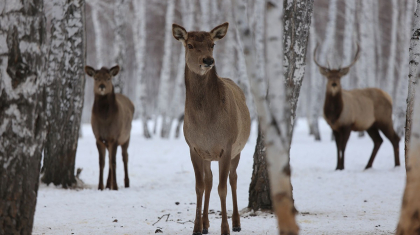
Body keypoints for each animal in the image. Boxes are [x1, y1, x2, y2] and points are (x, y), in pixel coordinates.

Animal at [172, 22, 251, 235]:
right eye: (190, 45)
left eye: (212, 44)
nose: (208, 60)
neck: (205, 126)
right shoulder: (193, 147)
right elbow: (199, 186)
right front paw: (196, 228)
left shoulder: (227, 145)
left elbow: (222, 188)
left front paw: (225, 229)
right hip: (208, 155)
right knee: (209, 180)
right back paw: (206, 224)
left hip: (238, 149)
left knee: (233, 179)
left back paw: (237, 222)